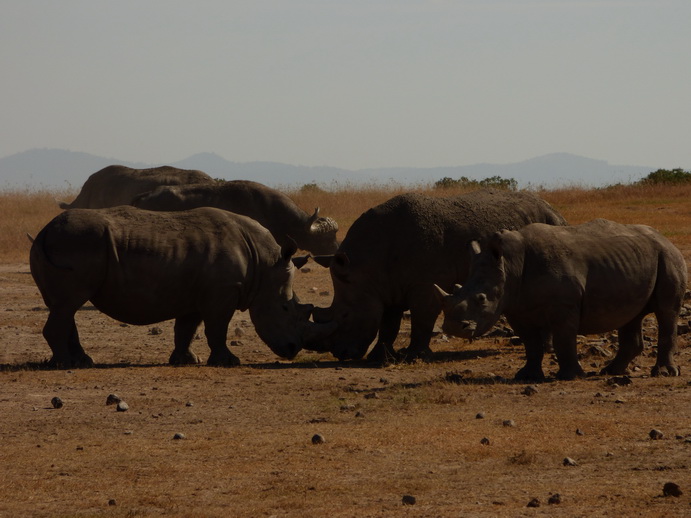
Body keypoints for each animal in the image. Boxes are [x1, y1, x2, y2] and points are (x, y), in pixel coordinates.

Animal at [30, 206, 336, 370]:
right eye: (285, 308)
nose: (293, 349)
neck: (264, 264)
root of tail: (43, 231)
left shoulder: (198, 293)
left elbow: (187, 328)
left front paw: (187, 360)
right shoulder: (222, 292)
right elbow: (217, 328)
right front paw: (229, 361)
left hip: (69, 243)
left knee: (64, 306)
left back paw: (82, 361)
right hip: (76, 241)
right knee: (69, 304)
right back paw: (65, 364)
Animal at [310, 189, 572, 364]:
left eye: (345, 315)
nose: (341, 354)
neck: (365, 265)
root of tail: (556, 211)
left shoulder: (423, 284)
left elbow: (422, 319)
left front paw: (412, 356)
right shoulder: (386, 286)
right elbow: (388, 323)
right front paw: (380, 357)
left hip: (550, 229)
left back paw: (546, 349)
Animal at [436, 219, 688, 382]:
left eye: (481, 299)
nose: (452, 328)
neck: (509, 265)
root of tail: (665, 238)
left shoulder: (564, 306)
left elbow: (563, 339)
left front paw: (570, 376)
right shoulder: (516, 307)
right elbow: (531, 343)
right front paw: (526, 376)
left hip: (668, 256)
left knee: (666, 311)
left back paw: (663, 373)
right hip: (637, 261)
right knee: (631, 315)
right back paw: (610, 372)